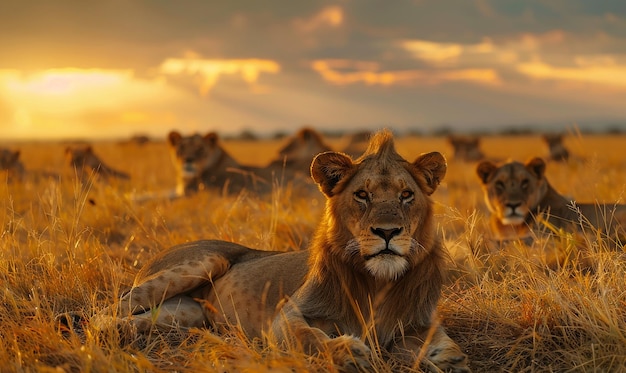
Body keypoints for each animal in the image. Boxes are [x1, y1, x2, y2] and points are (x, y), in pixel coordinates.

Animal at [94, 129, 468, 372]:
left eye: (407, 195)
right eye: (362, 195)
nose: (388, 232)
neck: (379, 282)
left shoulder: (419, 322)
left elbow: (445, 341)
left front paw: (449, 360)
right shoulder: (286, 315)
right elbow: (308, 337)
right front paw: (345, 350)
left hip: (187, 314)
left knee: (140, 319)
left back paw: (125, 332)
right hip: (204, 261)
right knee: (106, 310)